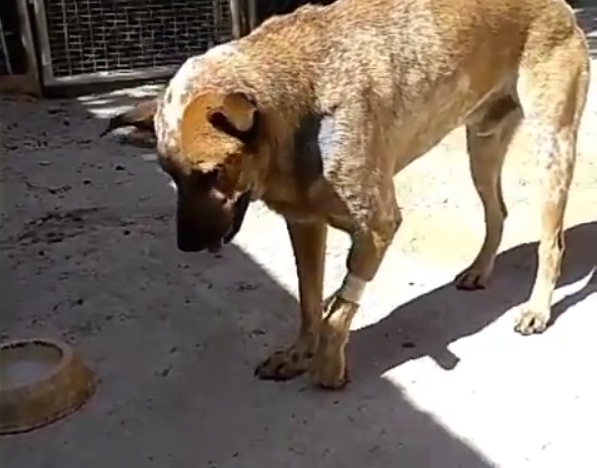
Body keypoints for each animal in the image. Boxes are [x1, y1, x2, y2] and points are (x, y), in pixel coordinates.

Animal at [103, 0, 592, 390]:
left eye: (213, 172)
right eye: (169, 174)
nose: (186, 245)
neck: (301, 108)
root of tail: (560, 5)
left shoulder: (378, 223)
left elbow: (340, 303)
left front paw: (328, 364)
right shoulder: (304, 225)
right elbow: (308, 300)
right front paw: (298, 354)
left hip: (552, 146)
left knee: (552, 241)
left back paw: (537, 309)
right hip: (483, 147)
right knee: (499, 213)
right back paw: (479, 270)